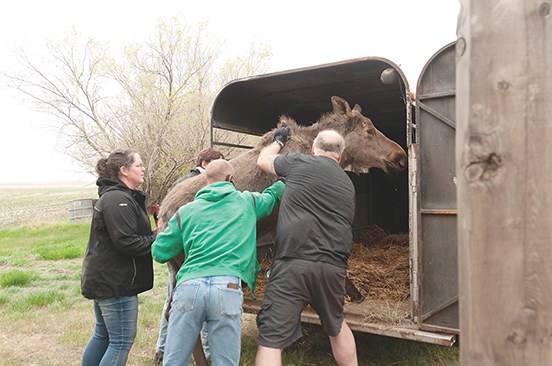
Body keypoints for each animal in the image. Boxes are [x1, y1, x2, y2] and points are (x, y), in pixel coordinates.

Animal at [157, 96, 408, 364]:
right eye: (369, 130)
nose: (400, 156)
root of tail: (159, 218)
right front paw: (355, 293)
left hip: (178, 270)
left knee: (173, 312)